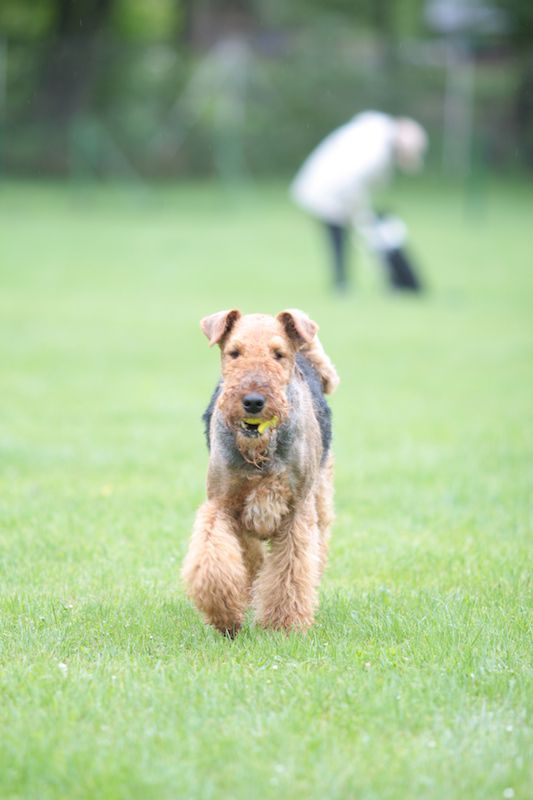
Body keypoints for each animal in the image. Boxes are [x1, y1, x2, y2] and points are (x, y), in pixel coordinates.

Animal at [181, 310, 338, 636]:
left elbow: (291, 570)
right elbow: (213, 560)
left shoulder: (296, 512)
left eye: (278, 354)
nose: (253, 402)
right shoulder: (221, 505)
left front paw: (283, 624)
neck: (259, 454)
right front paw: (225, 615)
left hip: (320, 496)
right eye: (234, 353)